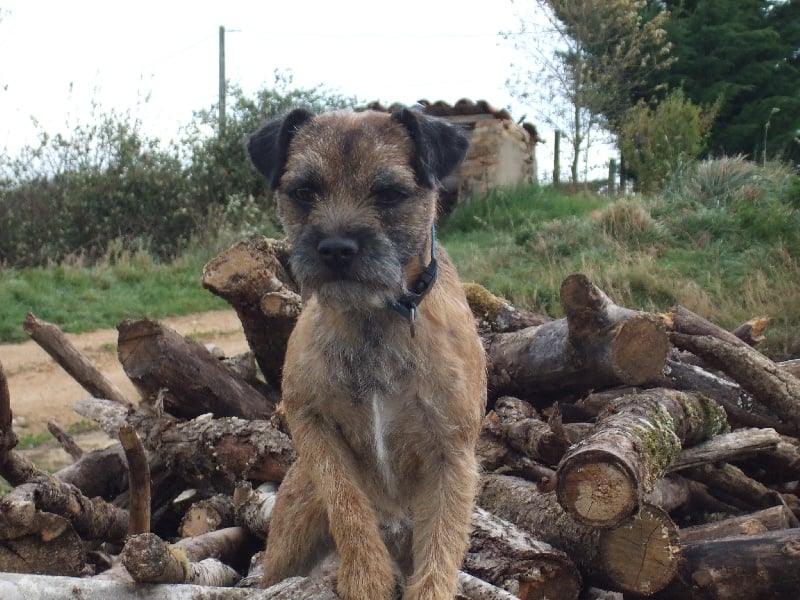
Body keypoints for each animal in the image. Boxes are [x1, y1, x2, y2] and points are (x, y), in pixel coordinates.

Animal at [248, 108, 488, 600]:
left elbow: (441, 547)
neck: (371, 318)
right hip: (290, 539)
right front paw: (365, 576)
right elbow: (346, 500)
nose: (336, 248)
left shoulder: (452, 454)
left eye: (390, 193)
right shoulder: (310, 421)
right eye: (304, 192)